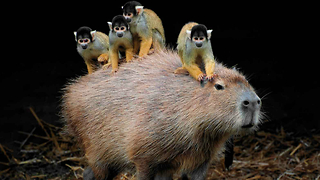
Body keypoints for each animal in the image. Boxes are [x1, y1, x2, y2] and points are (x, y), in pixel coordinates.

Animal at [60, 49, 262, 180]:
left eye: (246, 80)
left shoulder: (200, 160)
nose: (253, 102)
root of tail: (70, 93)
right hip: (97, 150)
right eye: (219, 86)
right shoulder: (143, 156)